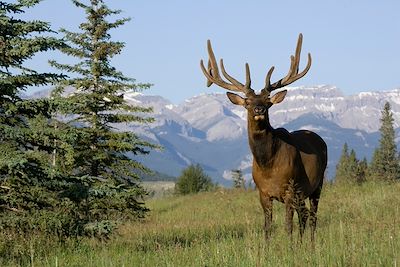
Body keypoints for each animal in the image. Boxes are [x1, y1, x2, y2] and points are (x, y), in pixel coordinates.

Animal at [200, 34, 328, 243]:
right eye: (247, 102)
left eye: (268, 102)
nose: (259, 109)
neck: (268, 166)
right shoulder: (263, 193)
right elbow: (267, 227)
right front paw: (269, 249)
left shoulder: (289, 189)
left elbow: (287, 226)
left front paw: (290, 248)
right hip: (303, 193)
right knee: (304, 215)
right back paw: (303, 244)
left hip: (317, 184)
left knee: (312, 217)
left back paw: (311, 245)